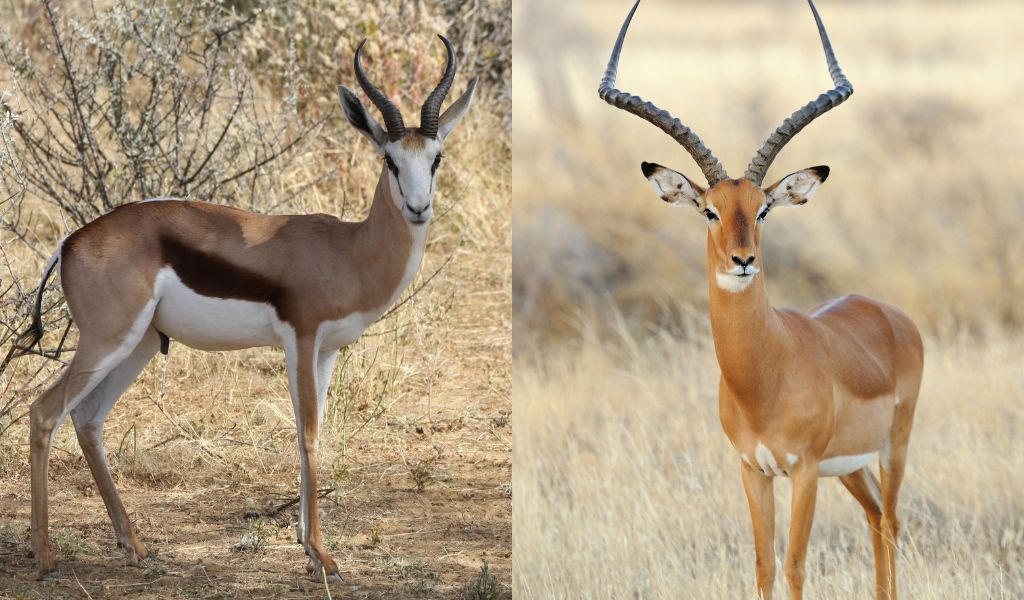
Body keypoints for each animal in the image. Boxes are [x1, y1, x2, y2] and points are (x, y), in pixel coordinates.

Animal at [16, 35, 476, 582]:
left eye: (437, 158)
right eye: (389, 160)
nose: (418, 208)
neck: (348, 250)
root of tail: (71, 241)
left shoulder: (327, 351)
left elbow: (310, 432)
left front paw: (307, 546)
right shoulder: (300, 339)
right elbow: (309, 436)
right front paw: (323, 556)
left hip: (139, 345)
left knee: (87, 419)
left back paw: (134, 545)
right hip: (107, 340)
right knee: (44, 412)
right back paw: (45, 556)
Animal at [599, 2, 923, 599]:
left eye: (764, 209)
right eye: (710, 210)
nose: (743, 260)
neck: (764, 376)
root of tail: (889, 313)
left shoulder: (803, 469)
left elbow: (794, 565)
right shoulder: (753, 469)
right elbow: (764, 564)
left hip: (893, 447)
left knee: (891, 520)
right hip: (851, 467)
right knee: (874, 518)